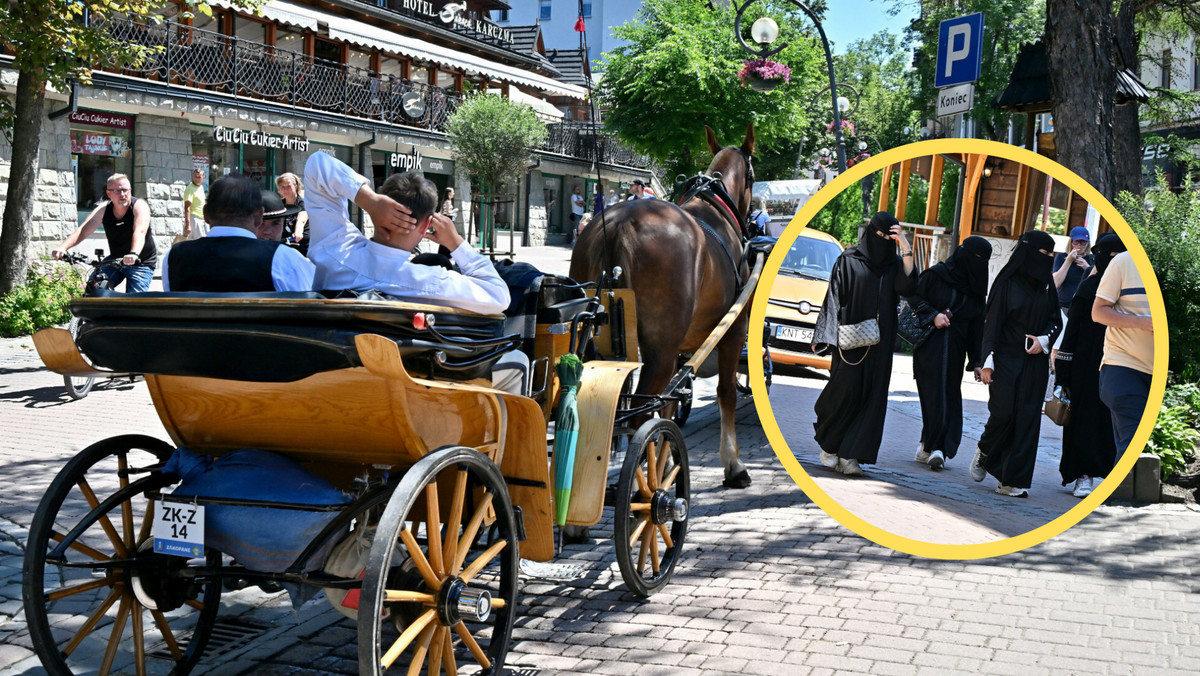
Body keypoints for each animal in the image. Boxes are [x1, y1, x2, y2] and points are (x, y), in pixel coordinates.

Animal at [573, 125, 758, 487]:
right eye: (754, 177)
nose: (754, 224)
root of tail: (620, 223)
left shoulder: (681, 348)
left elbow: (671, 403)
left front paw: (667, 458)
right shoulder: (732, 331)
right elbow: (725, 392)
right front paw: (733, 464)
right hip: (658, 352)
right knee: (637, 418)